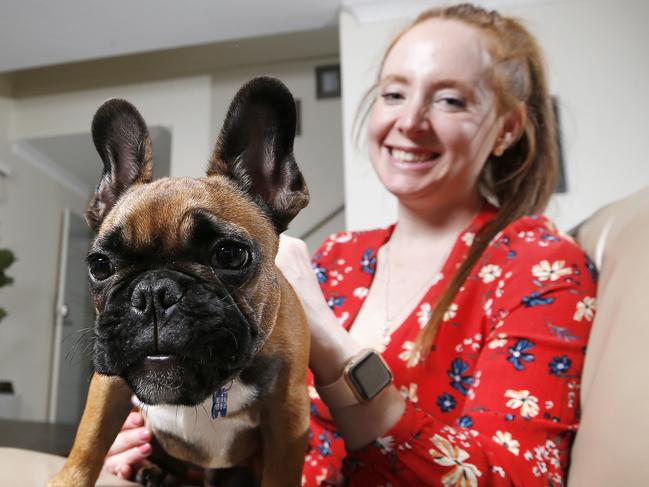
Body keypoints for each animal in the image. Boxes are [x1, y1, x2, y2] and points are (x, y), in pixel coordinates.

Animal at [46, 76, 310, 487]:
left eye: (231, 255)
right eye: (99, 265)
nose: (153, 293)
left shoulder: (289, 415)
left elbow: (281, 474)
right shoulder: (107, 388)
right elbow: (87, 445)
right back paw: (151, 471)